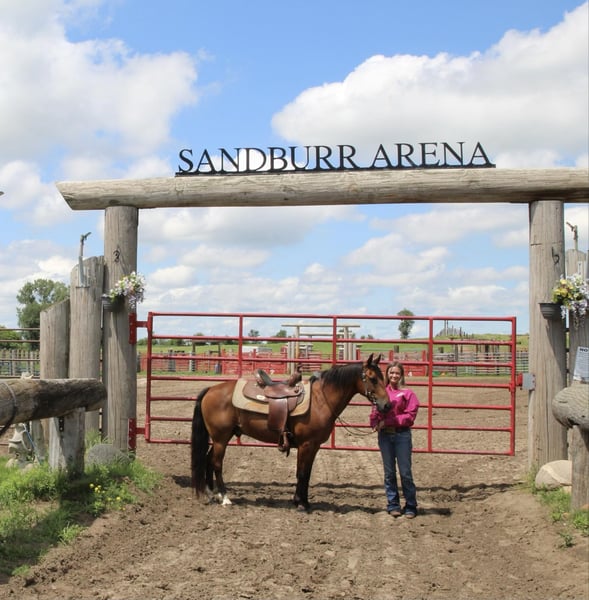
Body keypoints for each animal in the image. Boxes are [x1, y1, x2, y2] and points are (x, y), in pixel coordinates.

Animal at [190, 353, 390, 511]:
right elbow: (302, 473)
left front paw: (303, 501)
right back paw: (225, 497)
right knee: (216, 463)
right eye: (373, 378)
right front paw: (301, 504)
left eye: (384, 378)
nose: (387, 405)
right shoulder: (306, 444)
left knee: (208, 459)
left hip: (221, 438)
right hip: (221, 438)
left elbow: (306, 473)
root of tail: (210, 389)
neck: (320, 400)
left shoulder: (314, 446)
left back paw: (212, 494)